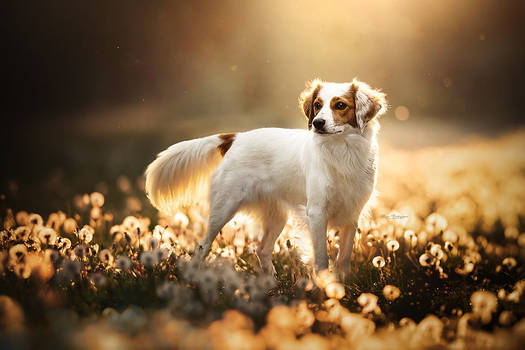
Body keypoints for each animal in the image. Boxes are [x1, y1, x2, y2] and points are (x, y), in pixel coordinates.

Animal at [145, 79, 386, 276]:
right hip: (223, 209)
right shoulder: (317, 214)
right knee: (203, 247)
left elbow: (343, 259)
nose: (317, 123)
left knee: (262, 250)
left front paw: (341, 291)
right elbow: (321, 260)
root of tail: (236, 137)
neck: (343, 151)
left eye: (340, 105)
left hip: (277, 217)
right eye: (318, 105)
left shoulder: (353, 215)